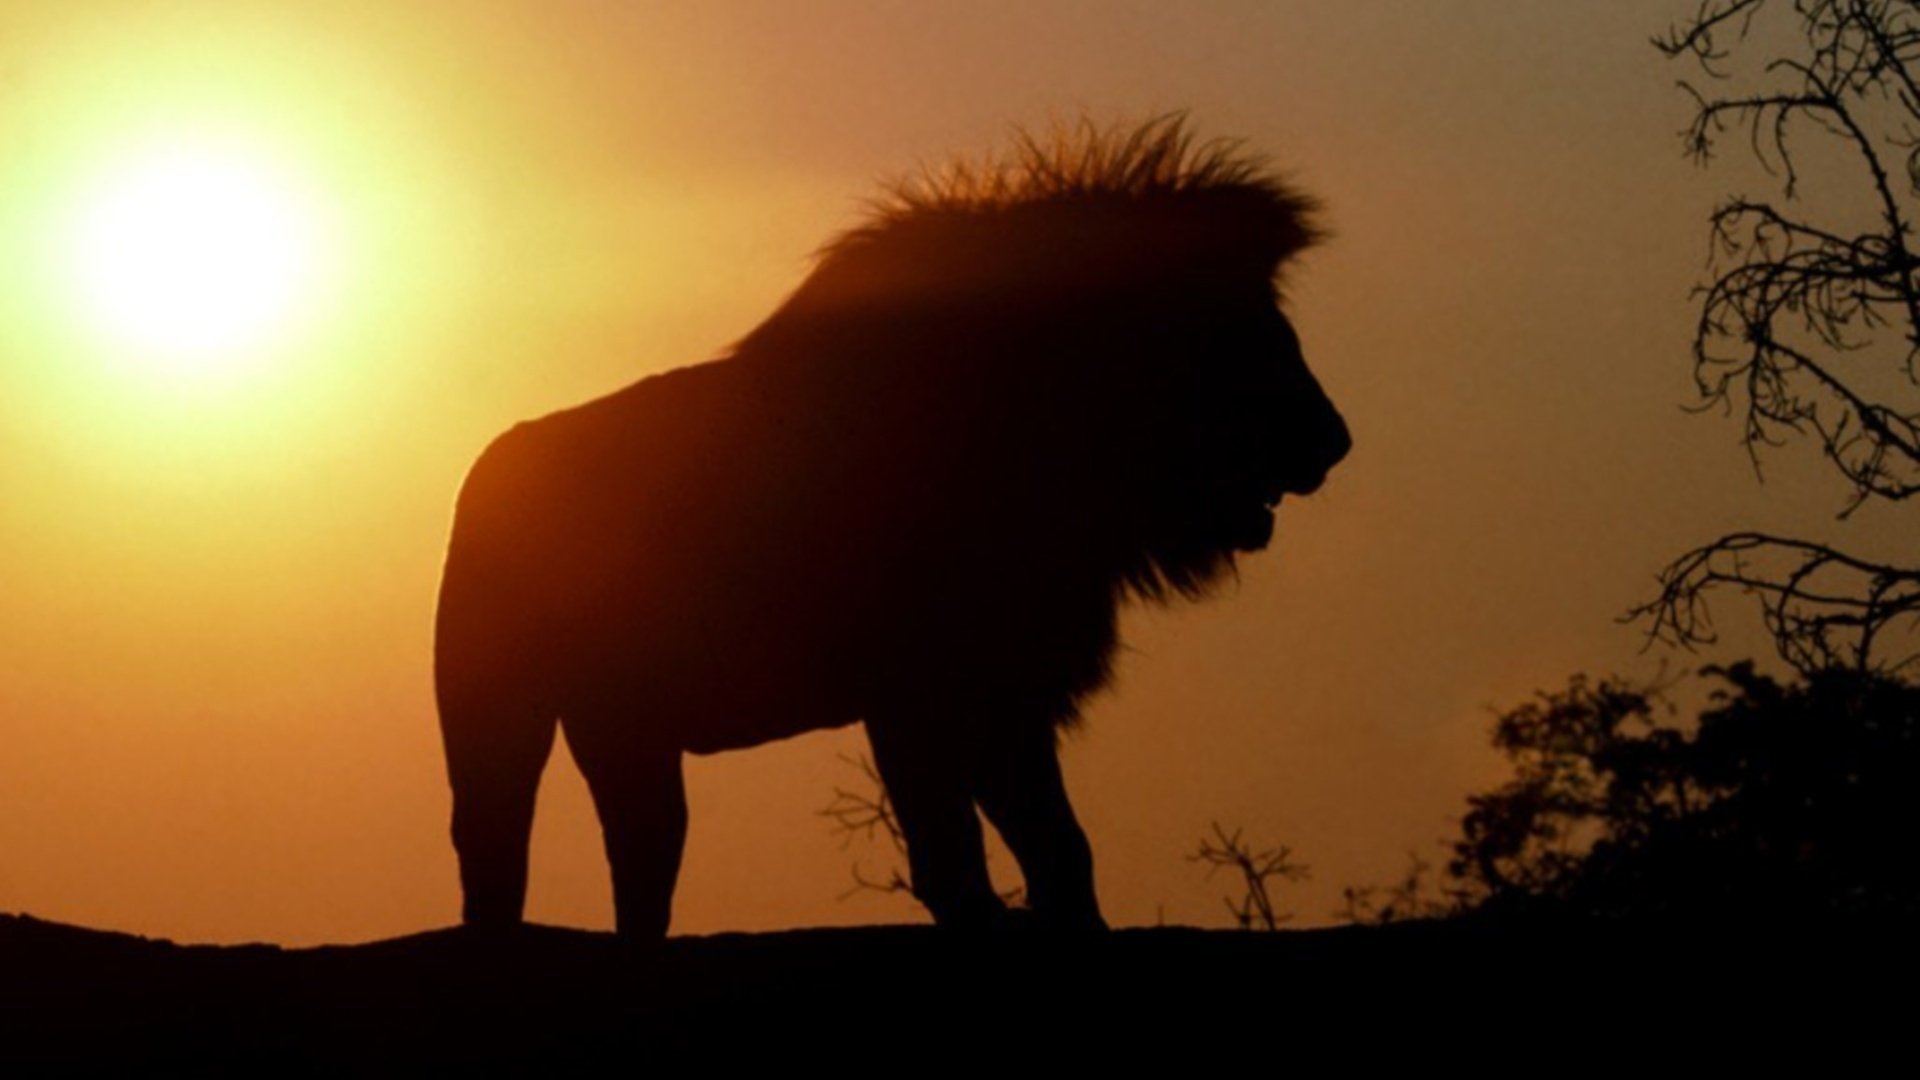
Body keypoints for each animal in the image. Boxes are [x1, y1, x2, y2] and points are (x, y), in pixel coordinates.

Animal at [434, 116, 1351, 938]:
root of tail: (487, 465)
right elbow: (952, 848)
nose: (1334, 439)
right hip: (497, 711)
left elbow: (1057, 841)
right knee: (495, 852)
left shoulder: (1010, 685)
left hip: (628, 727)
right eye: (1243, 331)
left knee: (643, 859)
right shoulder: (916, 689)